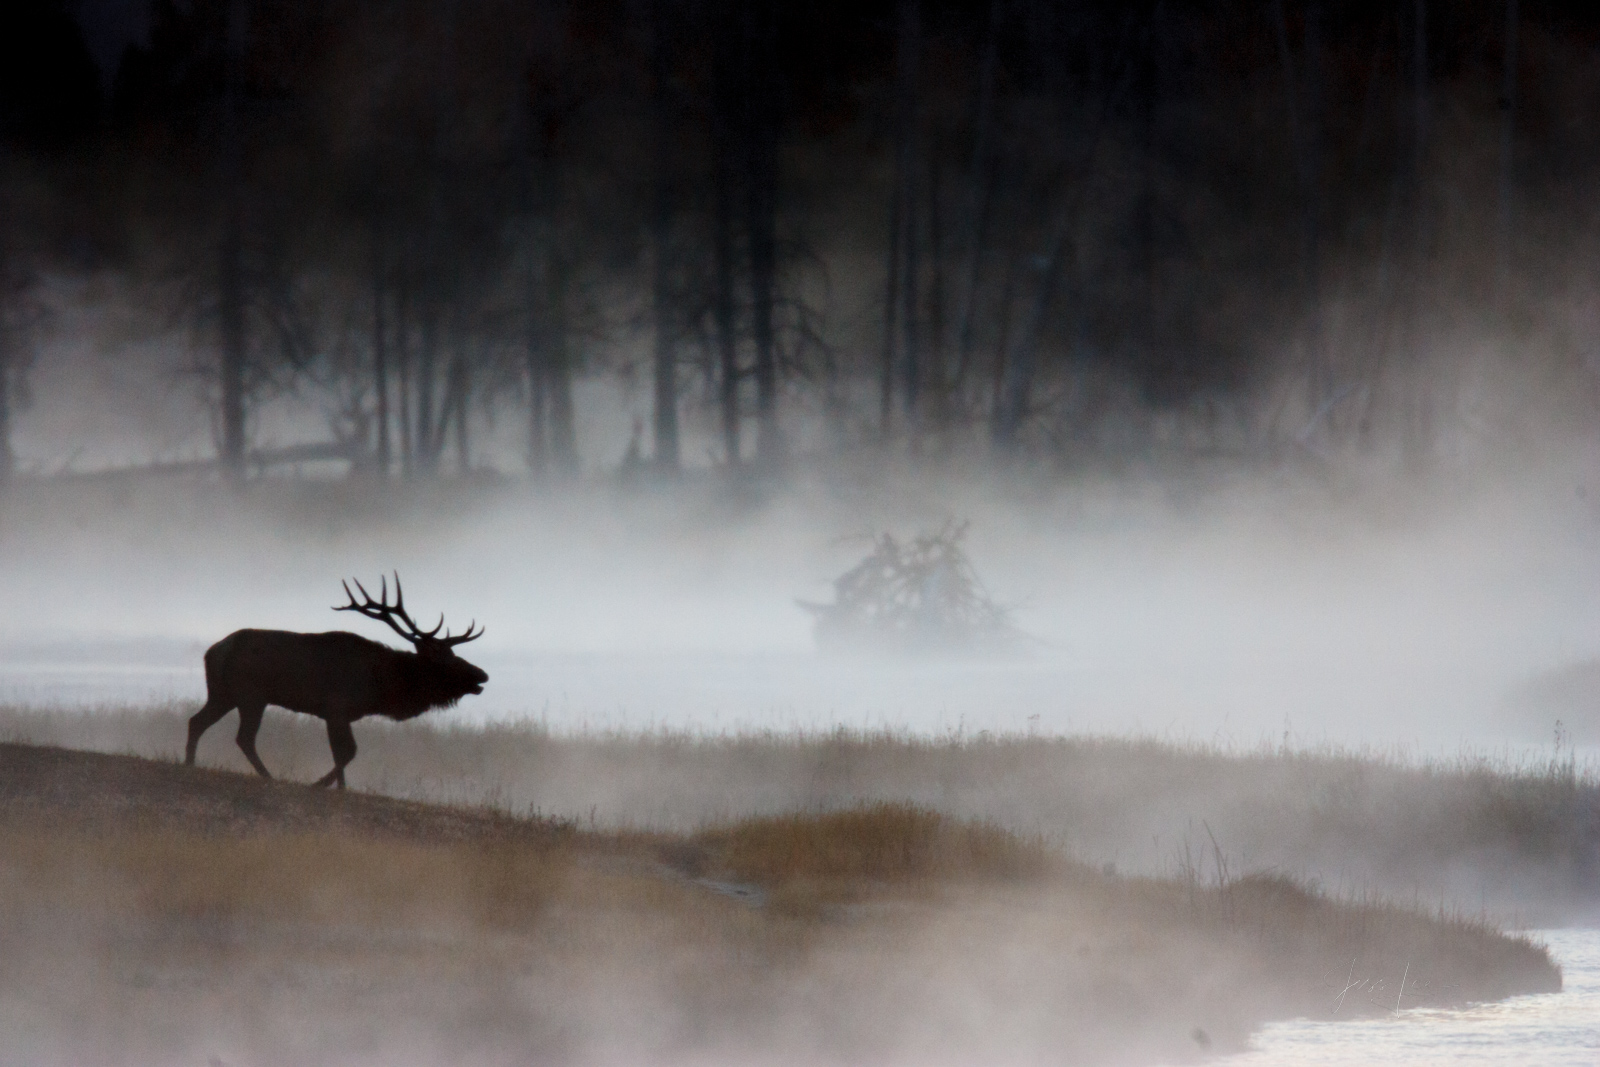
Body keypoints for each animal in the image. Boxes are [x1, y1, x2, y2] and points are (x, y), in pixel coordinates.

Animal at [183, 575, 486, 793]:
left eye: (454, 654)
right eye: (446, 661)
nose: (482, 675)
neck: (380, 685)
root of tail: (213, 652)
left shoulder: (339, 714)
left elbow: (342, 752)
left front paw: (337, 785)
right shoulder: (337, 708)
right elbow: (347, 752)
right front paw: (325, 785)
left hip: (223, 694)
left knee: (196, 721)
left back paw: (189, 763)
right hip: (251, 695)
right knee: (244, 737)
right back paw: (268, 777)